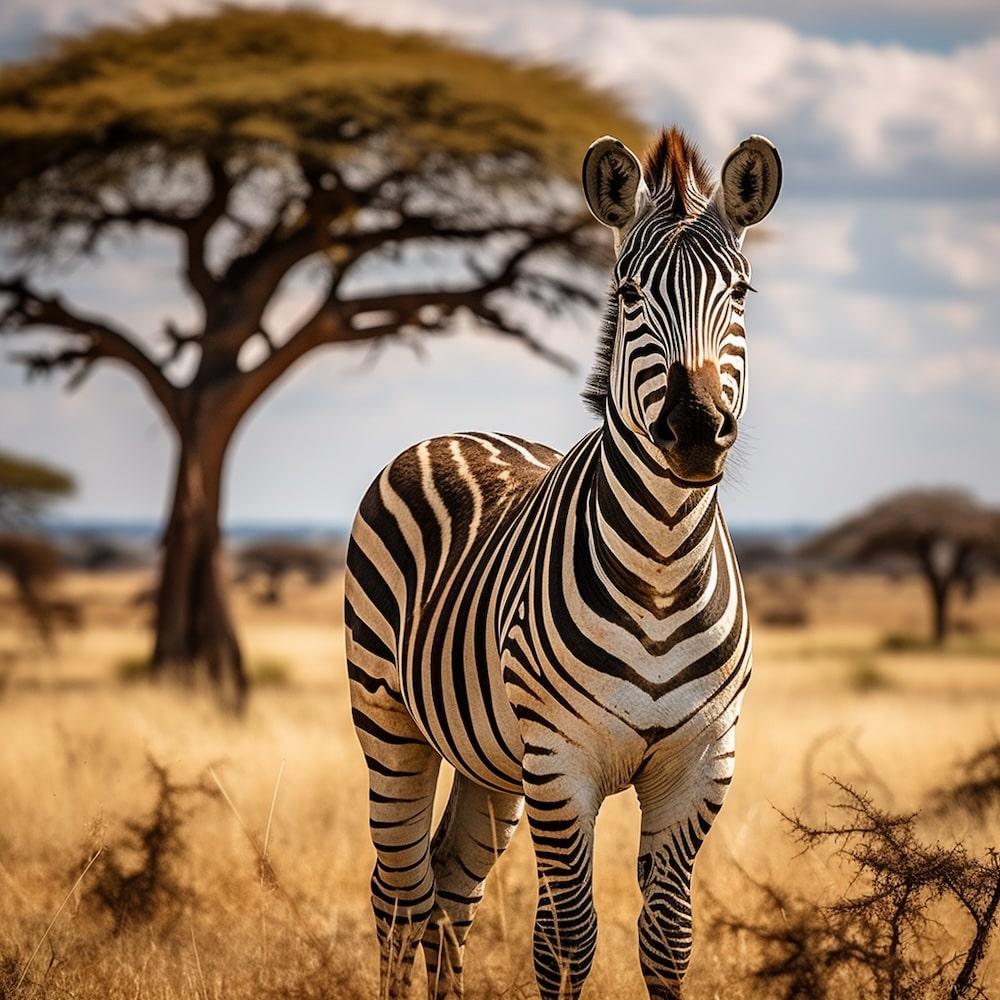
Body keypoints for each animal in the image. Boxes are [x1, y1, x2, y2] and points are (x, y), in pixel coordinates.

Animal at [344, 127, 780, 1000]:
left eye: (742, 292)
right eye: (629, 292)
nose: (694, 429)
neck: (662, 568)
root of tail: (458, 430)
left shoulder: (700, 765)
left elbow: (668, 939)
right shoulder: (560, 763)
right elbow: (568, 939)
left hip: (488, 757)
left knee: (451, 884)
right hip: (389, 719)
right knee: (399, 892)